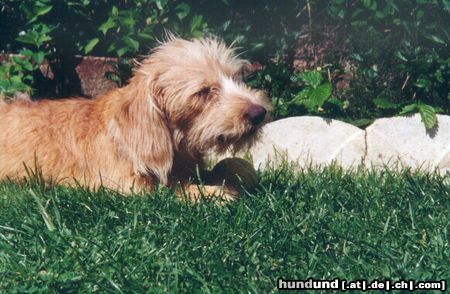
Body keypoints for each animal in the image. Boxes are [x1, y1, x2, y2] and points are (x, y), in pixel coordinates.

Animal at [0, 35, 270, 200]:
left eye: (237, 77)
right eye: (203, 91)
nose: (260, 112)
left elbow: (229, 166)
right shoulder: (128, 187)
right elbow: (173, 189)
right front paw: (216, 194)